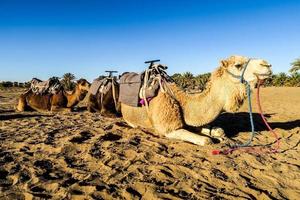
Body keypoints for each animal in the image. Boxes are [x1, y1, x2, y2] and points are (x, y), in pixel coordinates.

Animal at [120, 55, 274, 146]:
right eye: (237, 65)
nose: (266, 65)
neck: (183, 102)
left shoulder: (191, 121)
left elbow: (219, 131)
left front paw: (222, 137)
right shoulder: (168, 129)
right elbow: (206, 140)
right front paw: (212, 139)